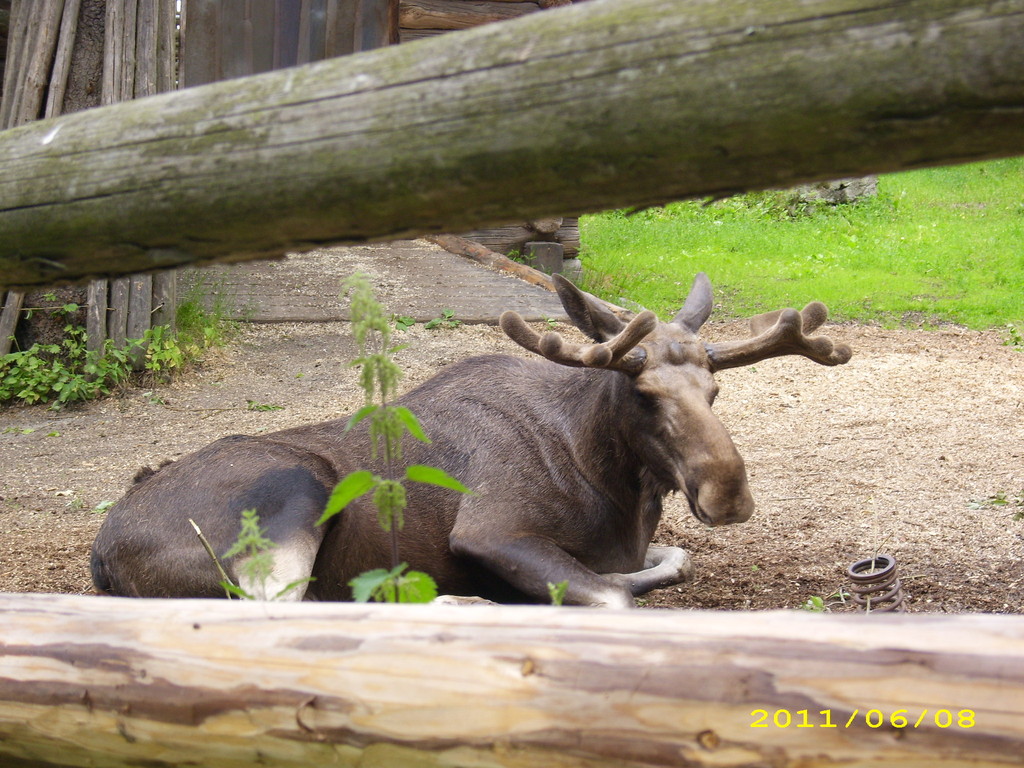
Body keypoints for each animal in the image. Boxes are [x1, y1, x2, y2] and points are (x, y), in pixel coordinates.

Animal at [92, 274, 851, 610]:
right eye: (643, 394)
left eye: (715, 390)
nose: (729, 494)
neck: (610, 483)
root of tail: (101, 555)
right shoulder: (491, 528)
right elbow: (613, 597)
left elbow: (668, 562)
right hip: (292, 493)